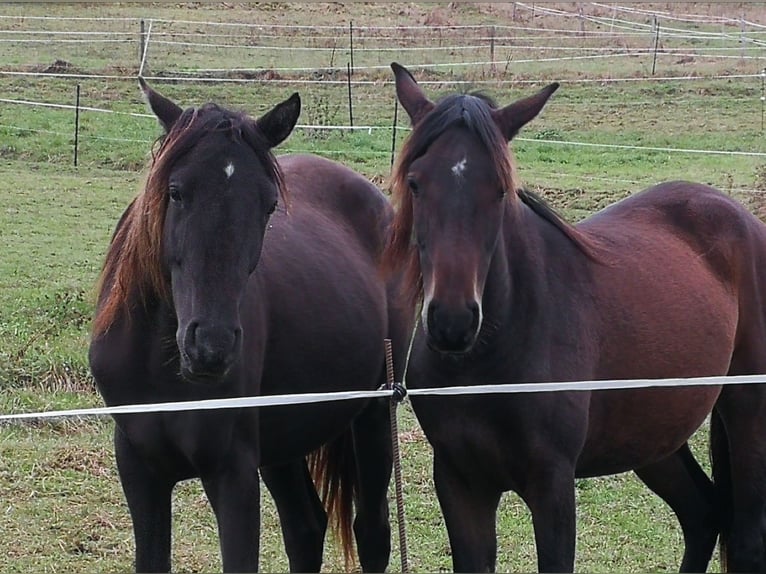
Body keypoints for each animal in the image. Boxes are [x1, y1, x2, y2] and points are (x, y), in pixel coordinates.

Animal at [88, 79, 414, 572]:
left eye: (269, 205)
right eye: (176, 191)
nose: (211, 347)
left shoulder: (232, 473)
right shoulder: (140, 469)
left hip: (373, 416)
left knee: (372, 533)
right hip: (284, 442)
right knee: (306, 527)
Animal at [388, 63, 766, 574]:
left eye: (500, 189)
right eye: (415, 182)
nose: (452, 322)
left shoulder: (552, 486)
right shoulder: (460, 482)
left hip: (747, 412)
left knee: (745, 537)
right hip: (653, 435)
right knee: (702, 514)